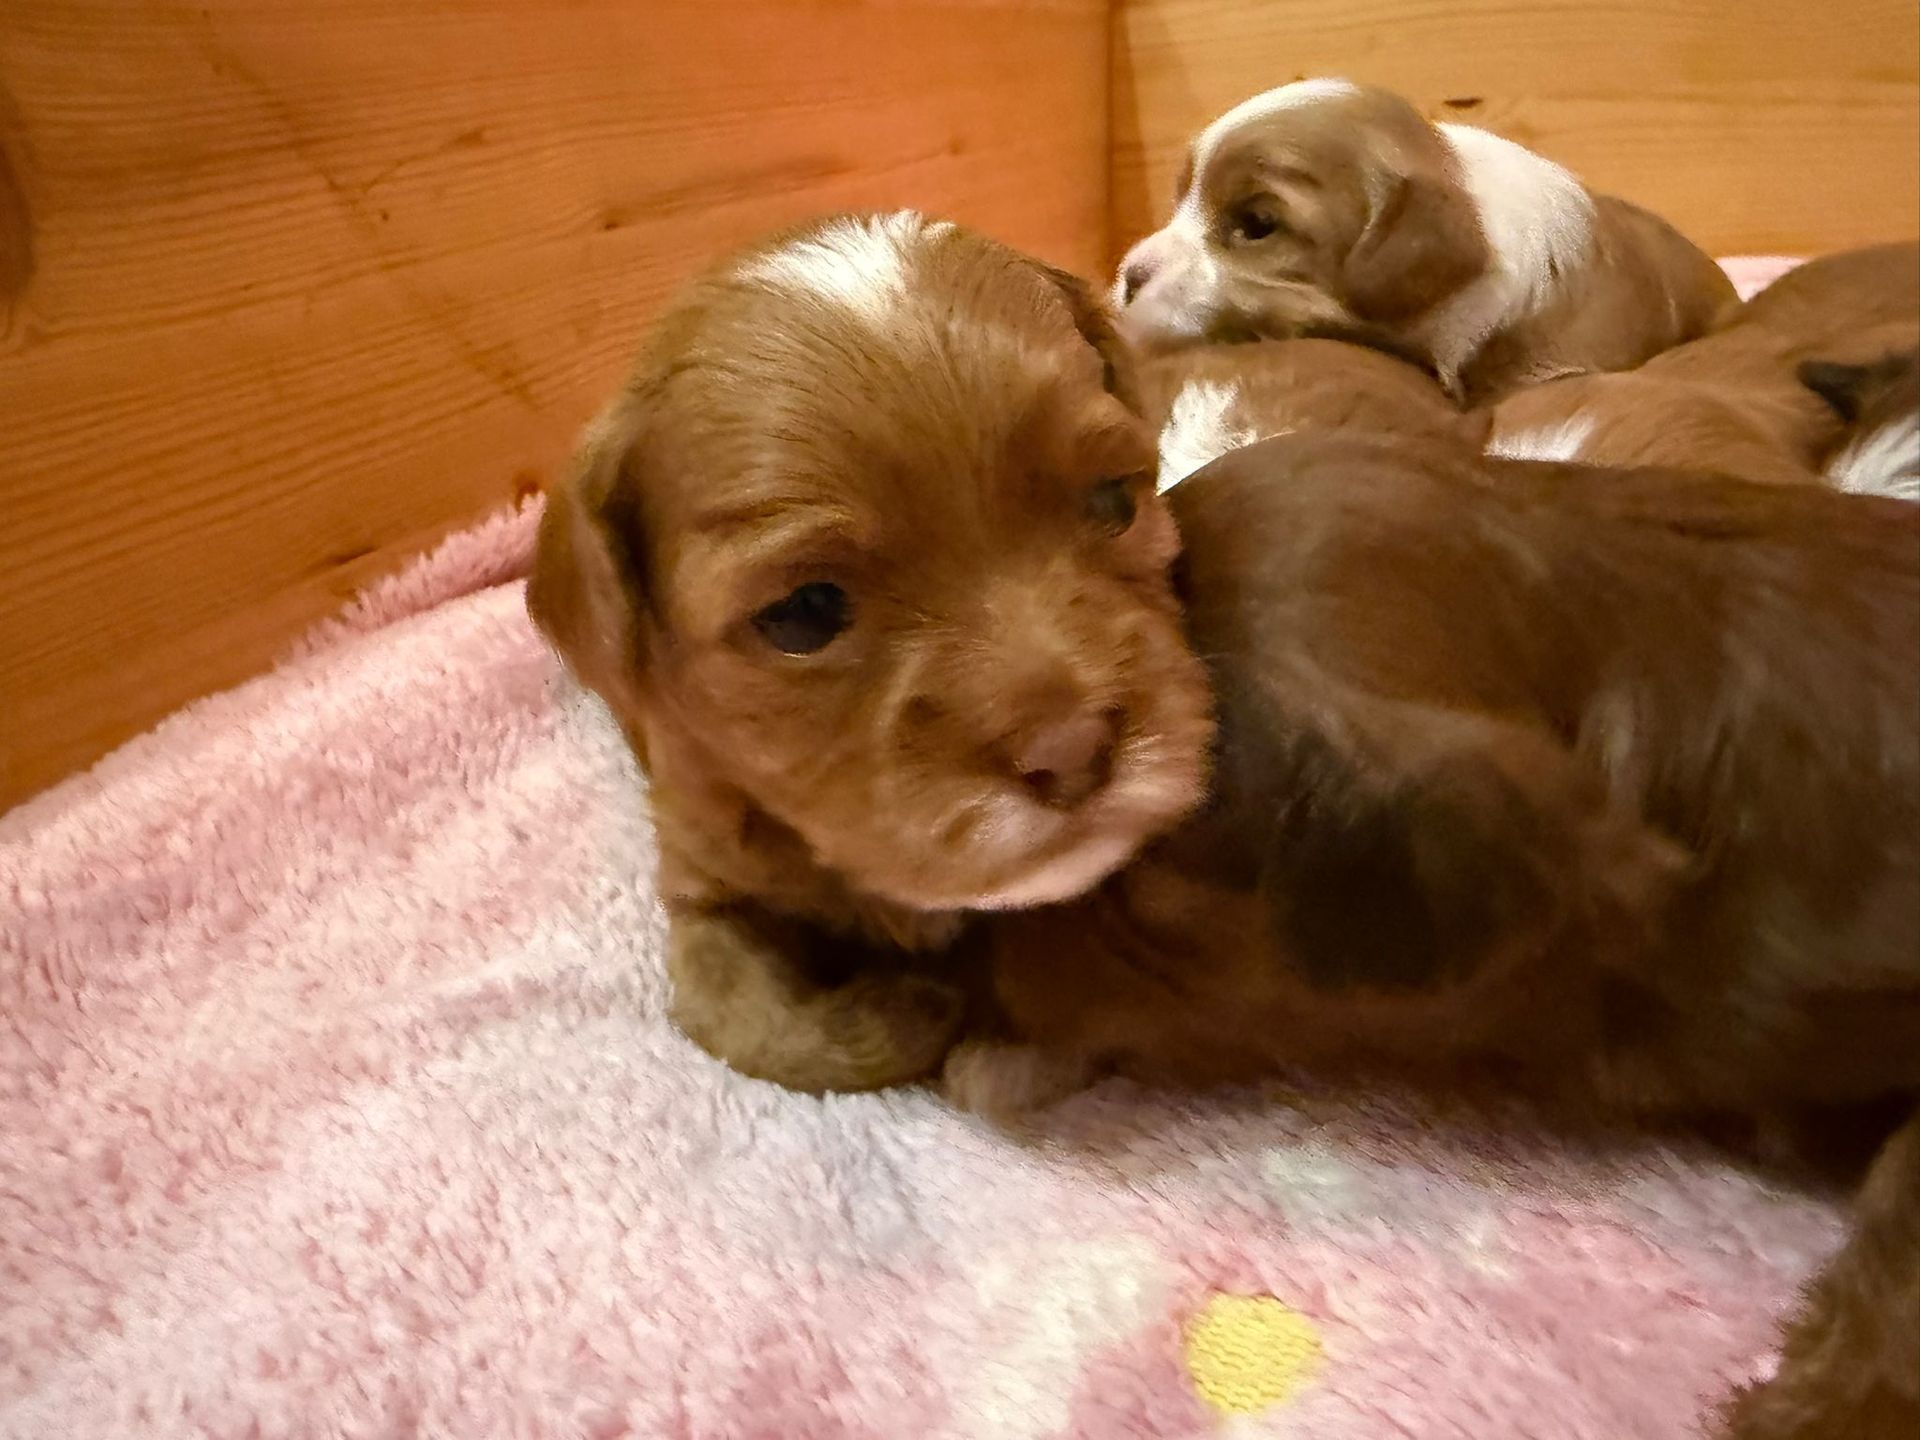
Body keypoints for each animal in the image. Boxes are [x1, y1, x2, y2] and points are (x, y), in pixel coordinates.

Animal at [527, 212, 1214, 1094]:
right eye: (804, 613)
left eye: (1112, 501)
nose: (1074, 751)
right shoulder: (701, 886)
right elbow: (751, 1024)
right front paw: (906, 1008)